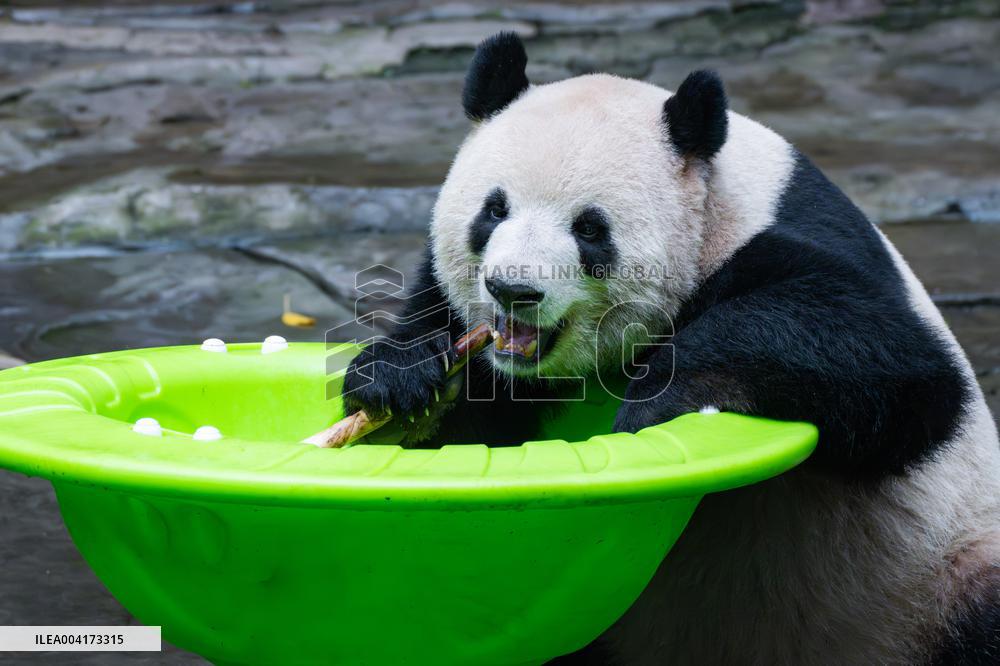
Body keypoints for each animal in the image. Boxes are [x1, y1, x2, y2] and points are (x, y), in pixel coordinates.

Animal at [342, 32, 1000, 665]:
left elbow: (897, 361)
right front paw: (399, 380)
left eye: (589, 228)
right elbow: (465, 419)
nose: (514, 290)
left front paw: (660, 398)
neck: (712, 200)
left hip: (941, 572)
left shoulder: (786, 236)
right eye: (494, 209)